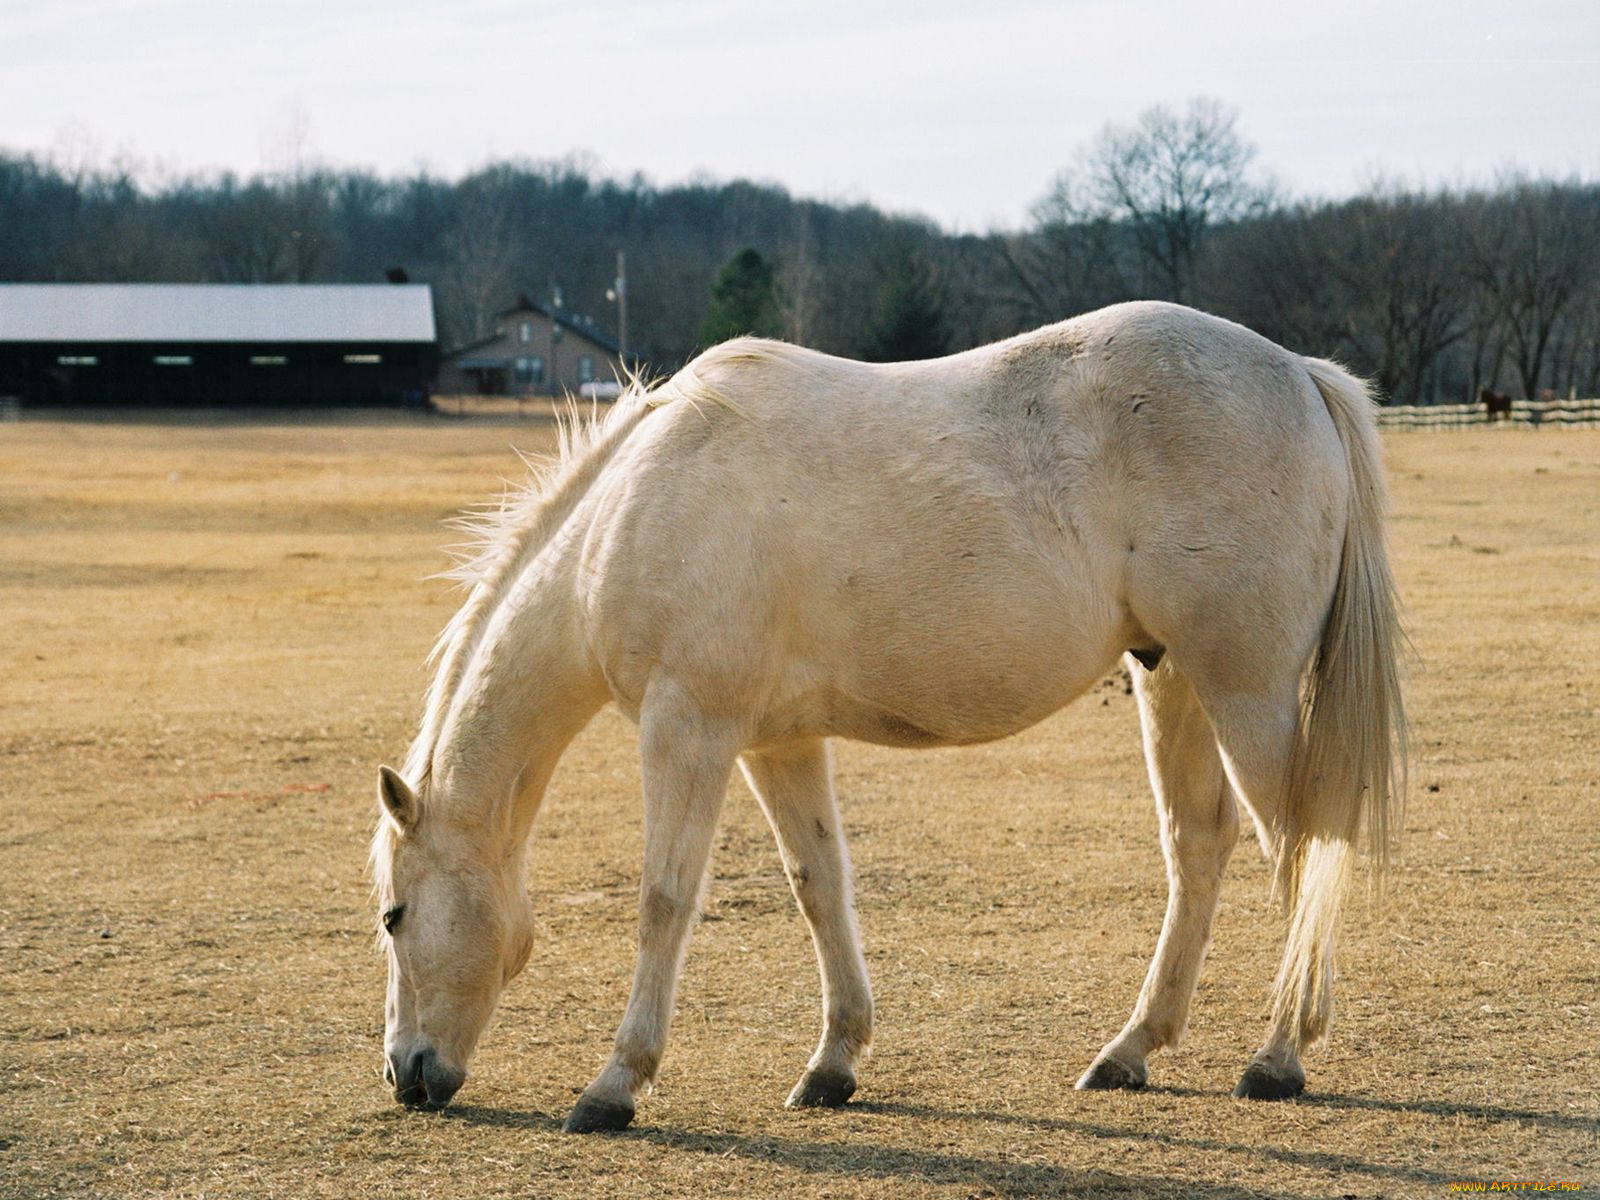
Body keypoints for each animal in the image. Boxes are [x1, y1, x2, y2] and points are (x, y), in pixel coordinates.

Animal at [368, 300, 1408, 1139]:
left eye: (393, 914)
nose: (406, 1075)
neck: (635, 509)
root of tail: (1298, 375)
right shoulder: (777, 742)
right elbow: (819, 885)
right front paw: (834, 1064)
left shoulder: (687, 729)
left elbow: (664, 900)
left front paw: (615, 1085)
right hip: (1173, 680)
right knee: (1199, 846)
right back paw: (1131, 1049)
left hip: (1247, 689)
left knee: (1302, 844)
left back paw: (1278, 1056)